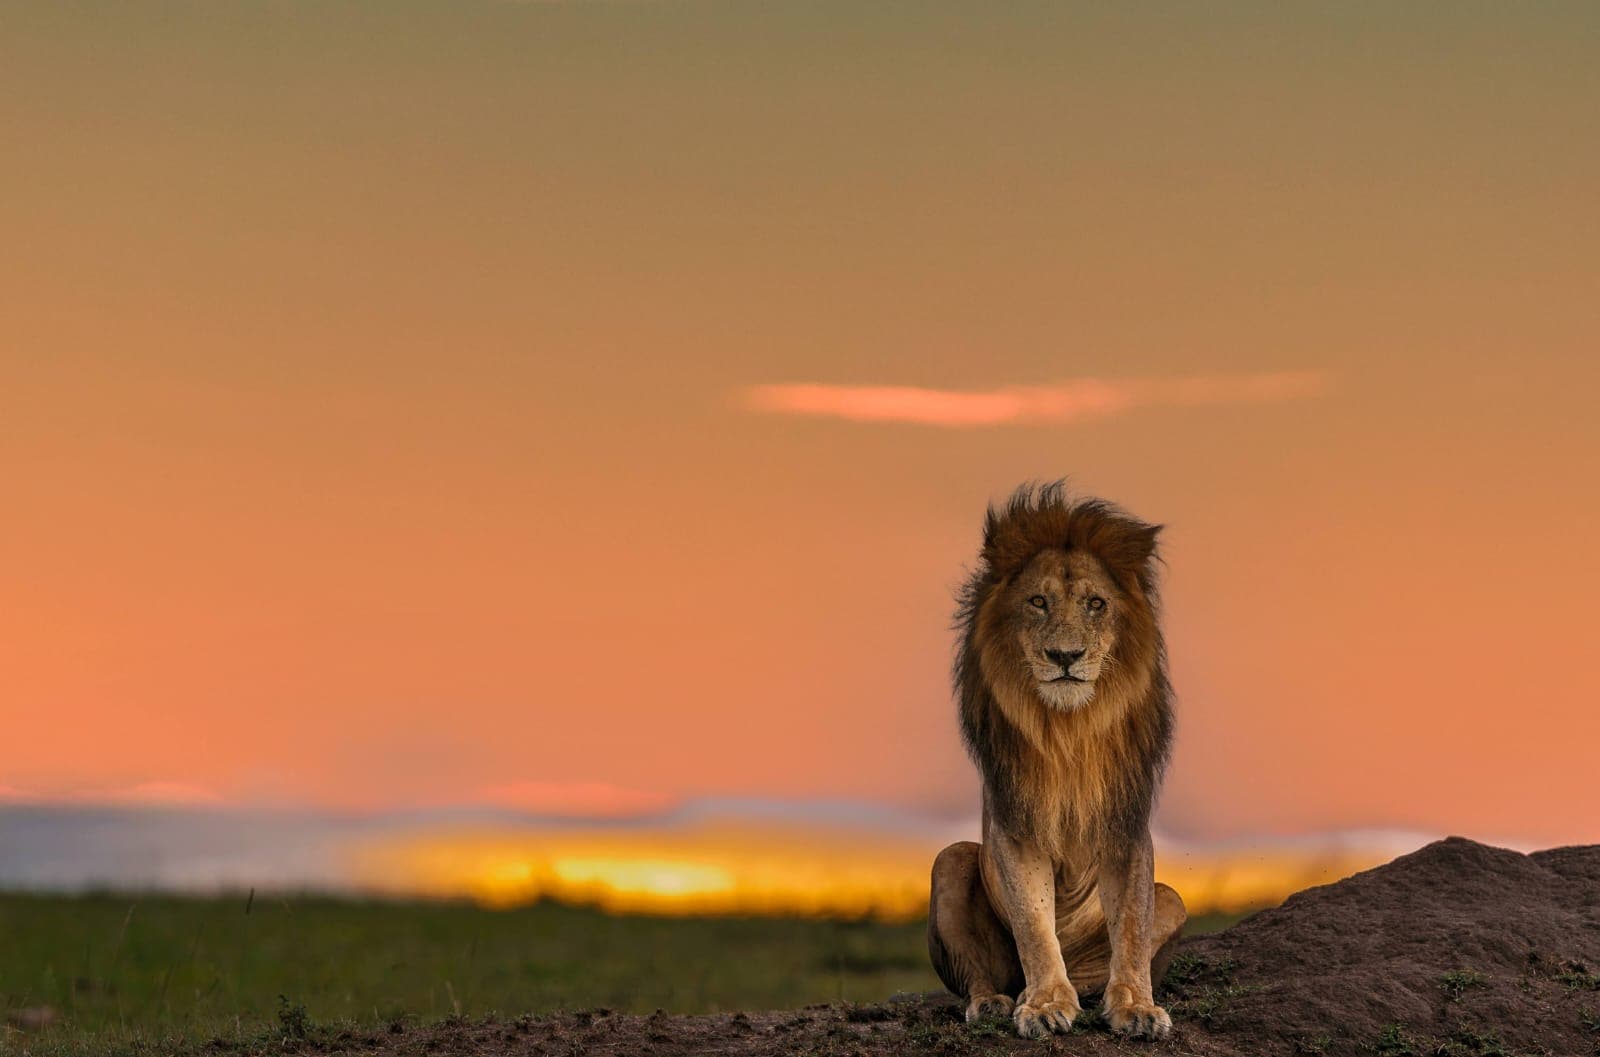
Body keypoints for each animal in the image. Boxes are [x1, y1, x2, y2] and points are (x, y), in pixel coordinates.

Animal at [927, 482, 1186, 1040]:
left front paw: (1135, 1005)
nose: (1065, 657)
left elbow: (1131, 927)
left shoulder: (1125, 825)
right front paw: (1045, 1003)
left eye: (1095, 604)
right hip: (951, 860)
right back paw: (1000, 1000)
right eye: (1038, 602)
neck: (1069, 730)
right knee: (980, 976)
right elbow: (1033, 923)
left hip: (1172, 897)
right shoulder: (1015, 825)